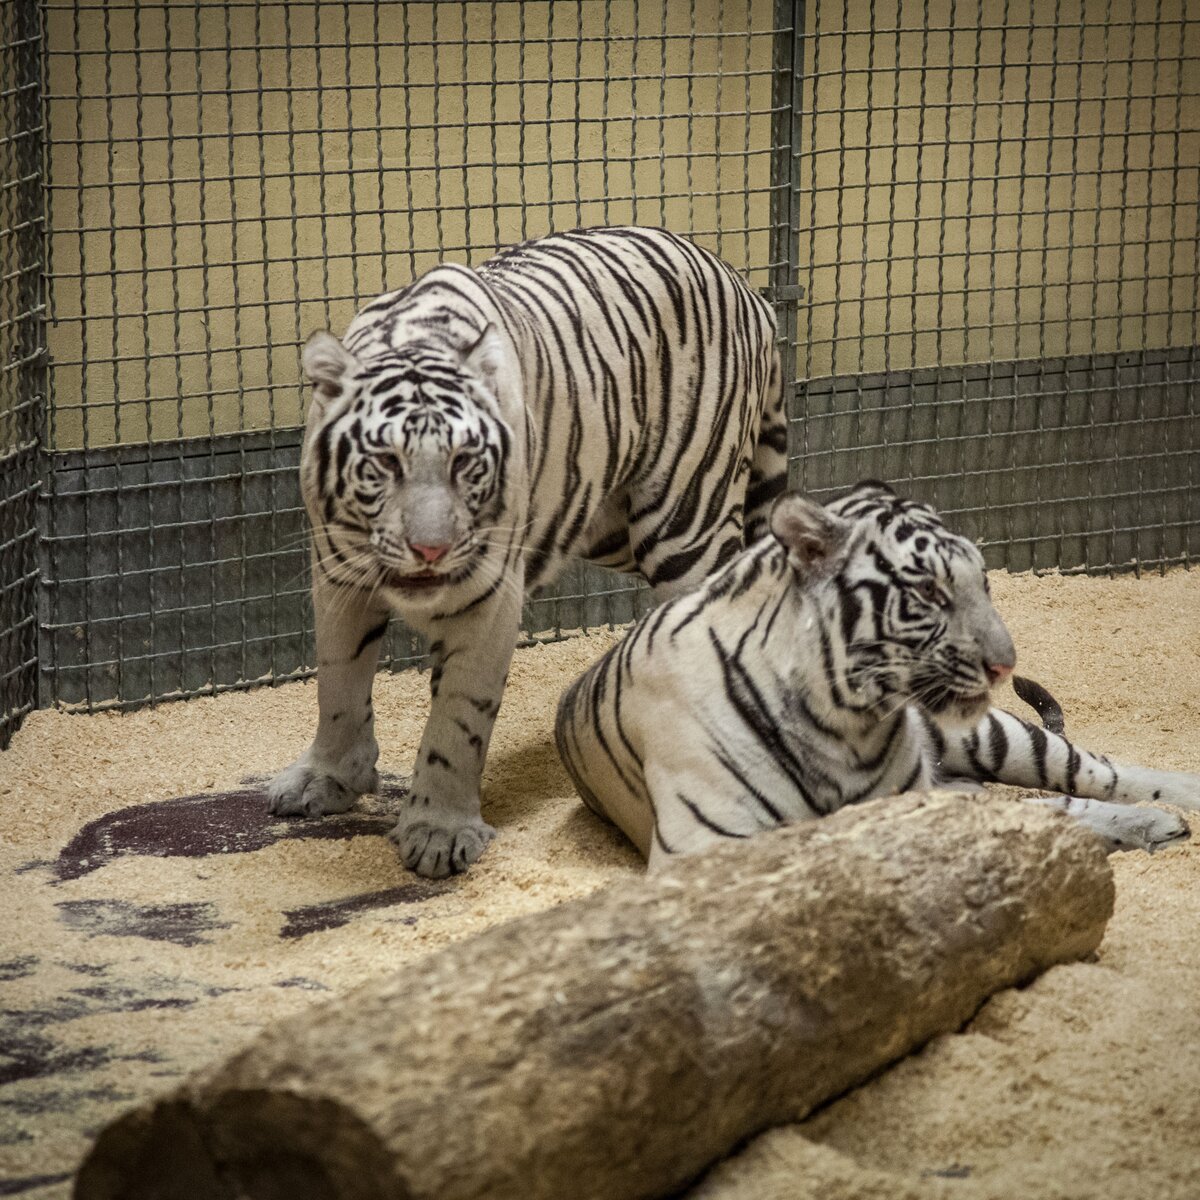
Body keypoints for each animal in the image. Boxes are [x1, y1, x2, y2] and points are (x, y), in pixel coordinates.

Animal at [265, 226, 787, 883]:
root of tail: (746, 286)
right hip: (611, 525)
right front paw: (327, 780)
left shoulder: (488, 595)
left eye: (465, 463)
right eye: (385, 462)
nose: (430, 549)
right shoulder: (338, 577)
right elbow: (337, 683)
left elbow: (457, 718)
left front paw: (438, 831)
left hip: (686, 519)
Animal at [556, 477, 1195, 864]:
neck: (845, 726)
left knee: (1091, 771)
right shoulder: (706, 845)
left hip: (990, 738)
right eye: (930, 591)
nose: (1003, 664)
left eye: (984, 583)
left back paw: (1170, 809)